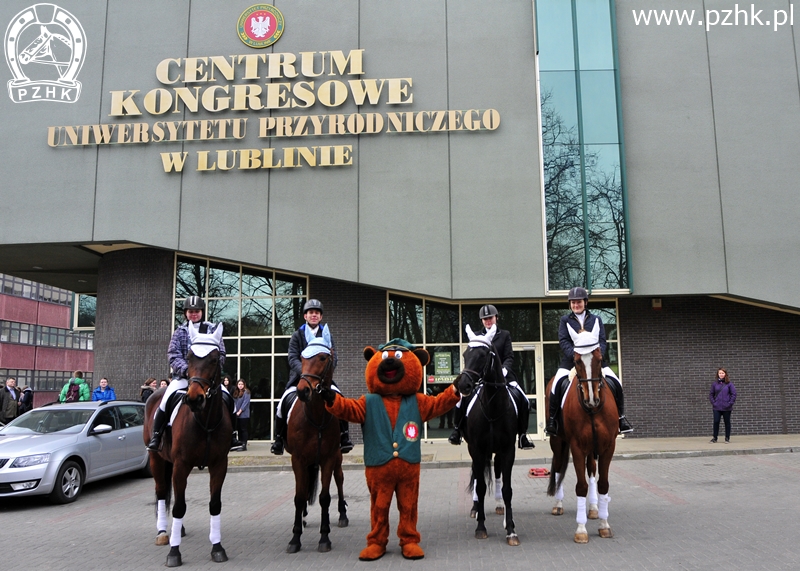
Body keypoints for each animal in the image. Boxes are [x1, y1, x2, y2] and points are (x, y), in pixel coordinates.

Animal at [144, 323, 233, 567]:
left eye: (214, 358)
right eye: (190, 356)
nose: (194, 398)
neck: (205, 421)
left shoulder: (219, 464)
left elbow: (215, 504)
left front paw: (217, 547)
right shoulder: (181, 464)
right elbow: (179, 506)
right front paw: (174, 553)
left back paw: (179, 529)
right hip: (157, 459)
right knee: (162, 492)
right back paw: (163, 533)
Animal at [284, 335, 348, 553]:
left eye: (322, 357)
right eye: (302, 358)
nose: (303, 391)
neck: (315, 416)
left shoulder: (328, 458)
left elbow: (325, 497)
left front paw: (324, 537)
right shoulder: (298, 459)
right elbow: (298, 496)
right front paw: (295, 538)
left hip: (337, 457)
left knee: (339, 479)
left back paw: (342, 515)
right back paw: (303, 517)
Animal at [456, 325, 520, 546]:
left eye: (483, 355)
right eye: (465, 354)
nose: (463, 385)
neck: (493, 408)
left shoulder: (508, 450)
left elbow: (508, 489)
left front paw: (511, 529)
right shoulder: (477, 449)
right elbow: (481, 486)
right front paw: (481, 527)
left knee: (498, 474)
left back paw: (501, 508)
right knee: (477, 477)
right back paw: (476, 509)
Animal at [546, 347, 618, 543]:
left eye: (600, 359)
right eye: (577, 361)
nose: (591, 399)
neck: (593, 410)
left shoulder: (608, 447)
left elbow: (603, 484)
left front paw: (604, 525)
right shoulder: (577, 447)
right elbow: (581, 486)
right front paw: (581, 530)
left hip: (592, 448)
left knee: (591, 468)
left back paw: (593, 508)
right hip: (558, 442)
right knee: (558, 468)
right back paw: (558, 505)